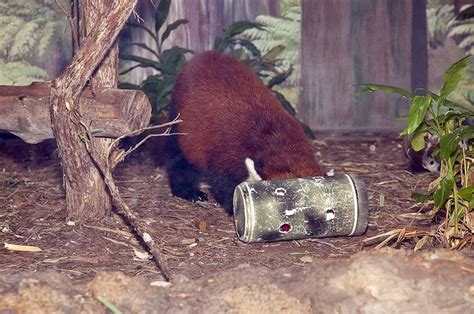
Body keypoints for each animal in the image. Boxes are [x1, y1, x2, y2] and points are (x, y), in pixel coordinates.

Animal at [165, 51, 324, 213]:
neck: (279, 145)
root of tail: (206, 54)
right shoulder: (228, 154)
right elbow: (223, 184)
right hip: (183, 123)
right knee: (181, 160)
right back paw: (188, 191)